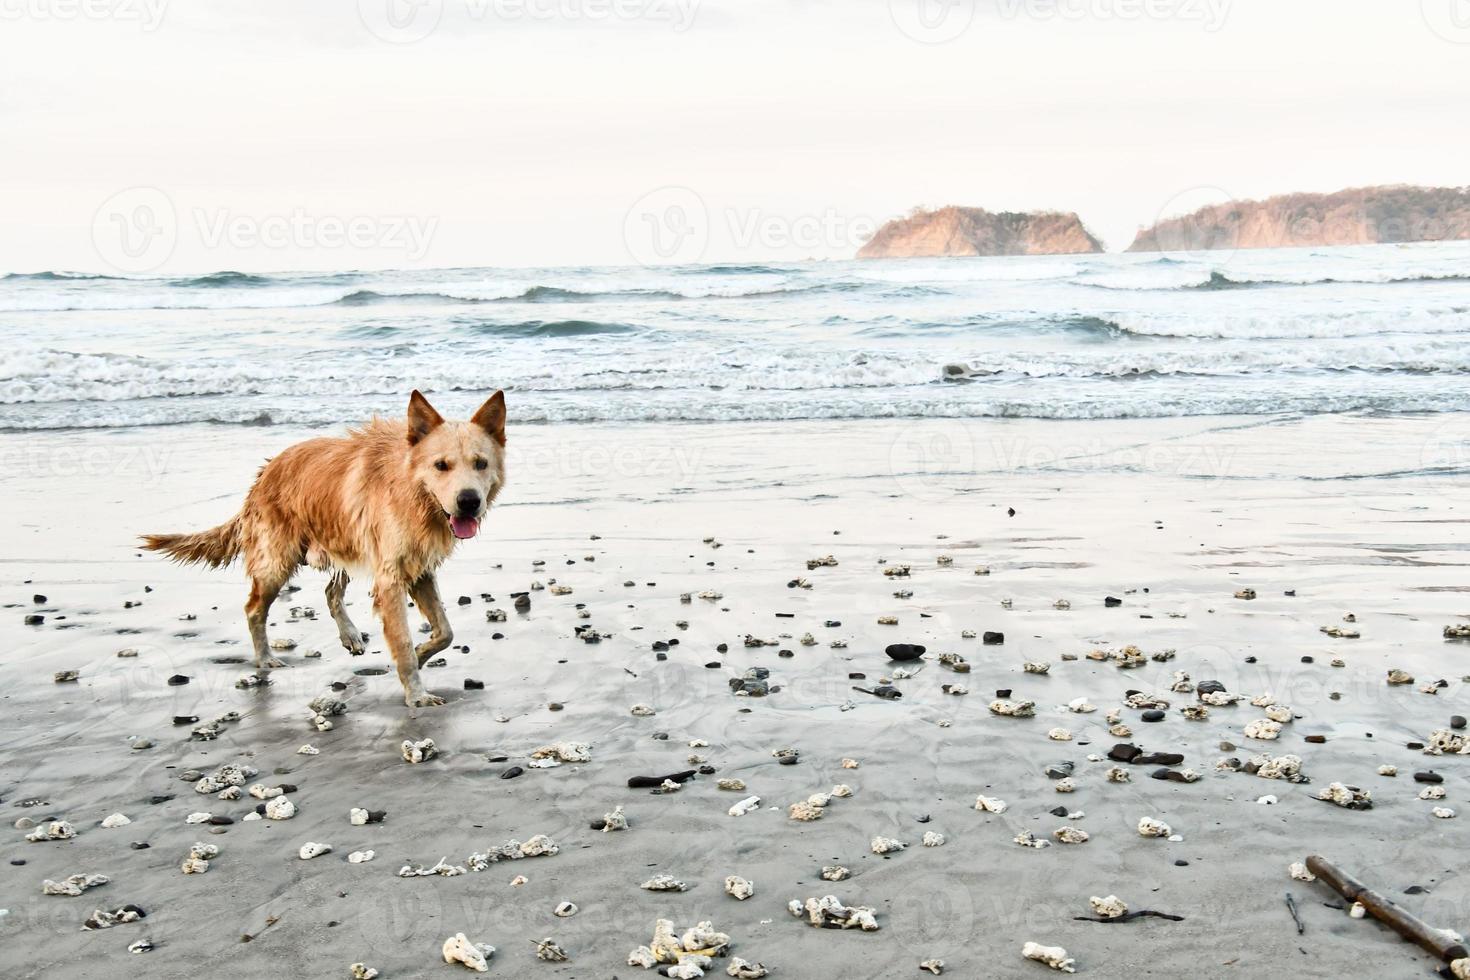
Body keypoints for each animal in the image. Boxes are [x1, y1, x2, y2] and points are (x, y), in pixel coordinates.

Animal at [142, 390, 508, 705]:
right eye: (441, 465)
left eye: (480, 463)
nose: (469, 502)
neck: (414, 493)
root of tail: (264, 472)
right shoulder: (390, 578)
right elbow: (403, 640)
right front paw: (415, 692)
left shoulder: (420, 570)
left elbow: (445, 631)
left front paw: (421, 654)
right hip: (277, 562)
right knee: (254, 610)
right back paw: (266, 659)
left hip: (343, 542)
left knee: (331, 592)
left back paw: (349, 635)